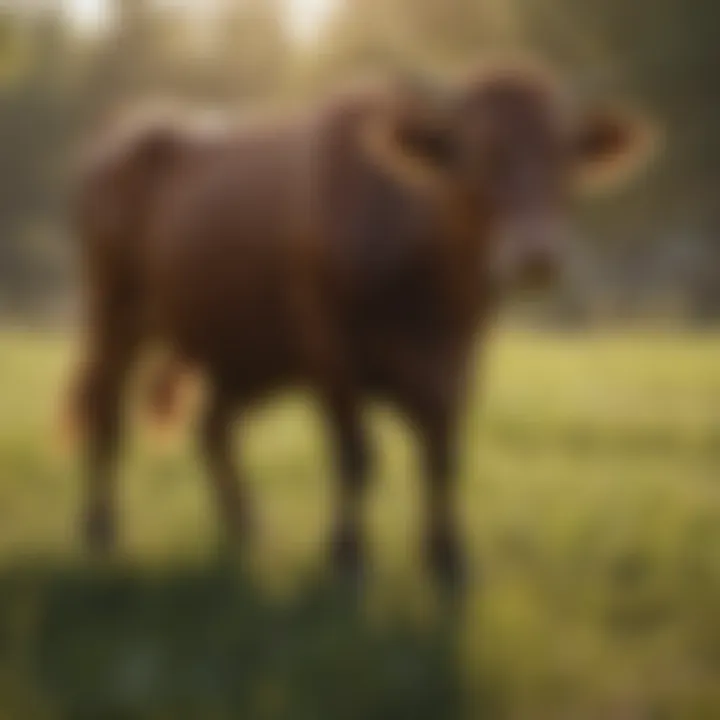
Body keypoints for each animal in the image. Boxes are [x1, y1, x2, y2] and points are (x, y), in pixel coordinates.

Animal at [70, 62, 656, 588]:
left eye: (564, 157)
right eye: (476, 155)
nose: (535, 255)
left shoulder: (458, 361)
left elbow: (443, 458)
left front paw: (449, 559)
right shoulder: (333, 355)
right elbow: (356, 458)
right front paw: (347, 557)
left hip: (244, 347)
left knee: (213, 427)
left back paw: (244, 527)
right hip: (116, 313)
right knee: (106, 413)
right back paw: (100, 529)